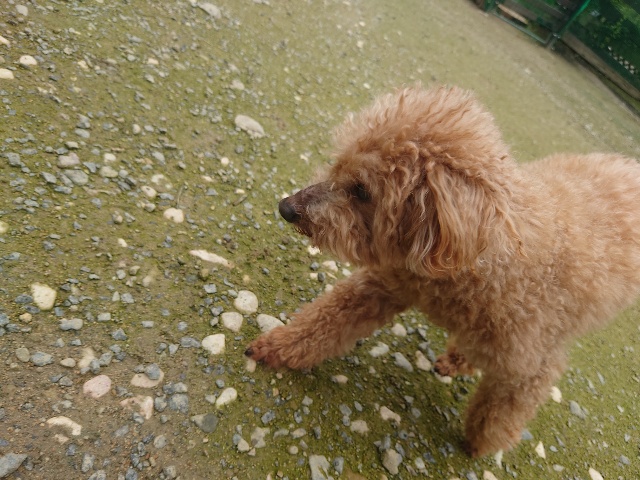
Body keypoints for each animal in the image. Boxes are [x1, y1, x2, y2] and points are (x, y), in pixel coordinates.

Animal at [245, 86, 640, 457]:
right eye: (338, 166)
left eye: (361, 190)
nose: (286, 208)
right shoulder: (386, 284)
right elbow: (325, 321)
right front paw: (278, 346)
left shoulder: (529, 366)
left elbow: (501, 411)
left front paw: (479, 444)